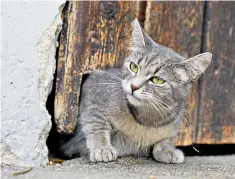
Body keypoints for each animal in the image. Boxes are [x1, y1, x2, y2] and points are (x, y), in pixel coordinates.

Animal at [52, 18, 211, 164]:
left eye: (157, 80)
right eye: (134, 67)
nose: (134, 86)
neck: (146, 121)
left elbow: (166, 138)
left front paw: (167, 150)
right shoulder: (94, 95)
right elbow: (96, 124)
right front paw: (102, 148)